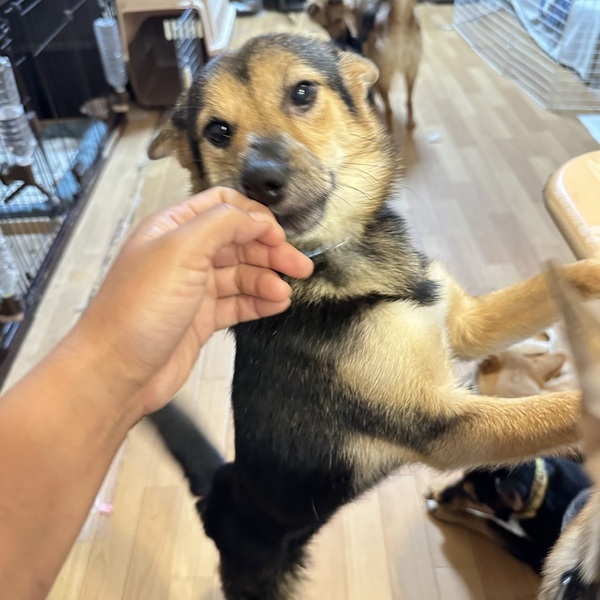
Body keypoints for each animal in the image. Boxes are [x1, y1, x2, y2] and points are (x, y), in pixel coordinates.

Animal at [307, 0, 422, 130]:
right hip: (411, 70)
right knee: (407, 101)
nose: (338, 41)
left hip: (386, 75)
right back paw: (409, 123)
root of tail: (400, 20)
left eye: (337, 20)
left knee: (388, 107)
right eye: (324, 25)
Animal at [427, 457, 591, 574]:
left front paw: (444, 510)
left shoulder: (540, 555)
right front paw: (436, 488)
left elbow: (489, 523)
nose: (440, 496)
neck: (540, 488)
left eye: (474, 499)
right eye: (463, 476)